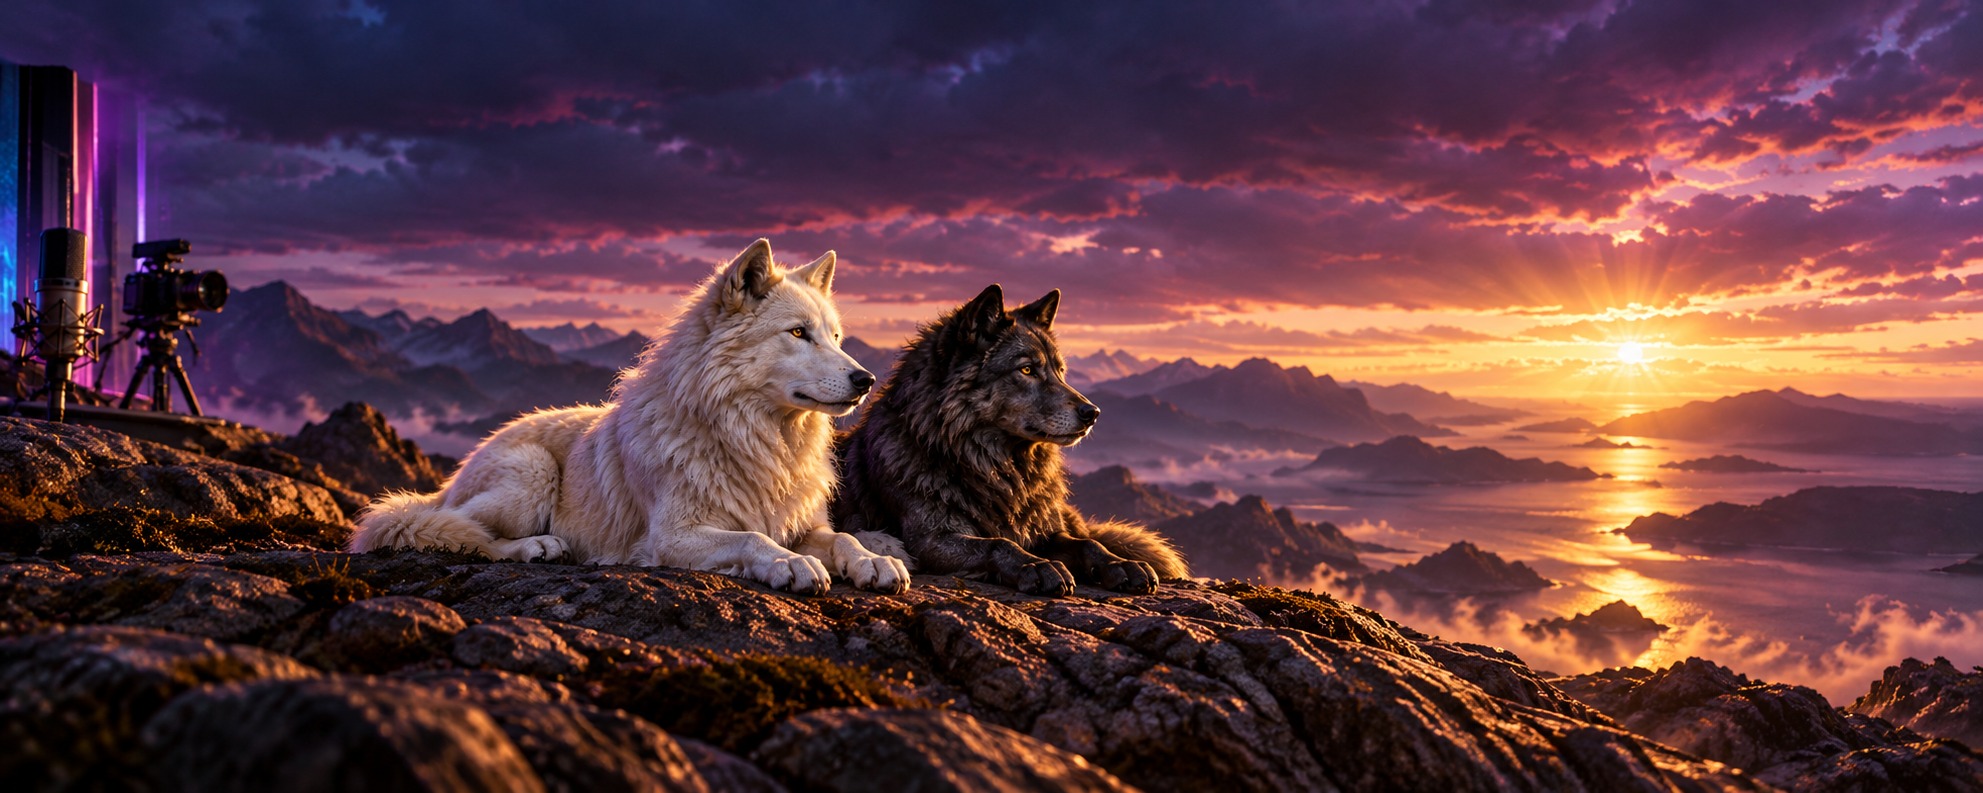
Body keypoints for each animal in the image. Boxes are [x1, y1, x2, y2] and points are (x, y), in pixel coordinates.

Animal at [350, 239, 910, 595]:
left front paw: (873, 560)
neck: (755, 438)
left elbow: (841, 537)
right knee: (464, 534)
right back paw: (537, 547)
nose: (866, 379)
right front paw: (788, 564)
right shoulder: (674, 535)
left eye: (834, 337)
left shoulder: (799, 522)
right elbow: (753, 538)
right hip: (530, 473)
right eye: (797, 333)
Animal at [832, 284, 1188, 596]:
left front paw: (1121, 564)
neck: (999, 469)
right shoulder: (932, 540)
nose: (1093, 413)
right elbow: (1000, 543)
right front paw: (1038, 567)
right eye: (1027, 369)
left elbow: (1088, 543)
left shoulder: (1045, 530)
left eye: (1060, 371)